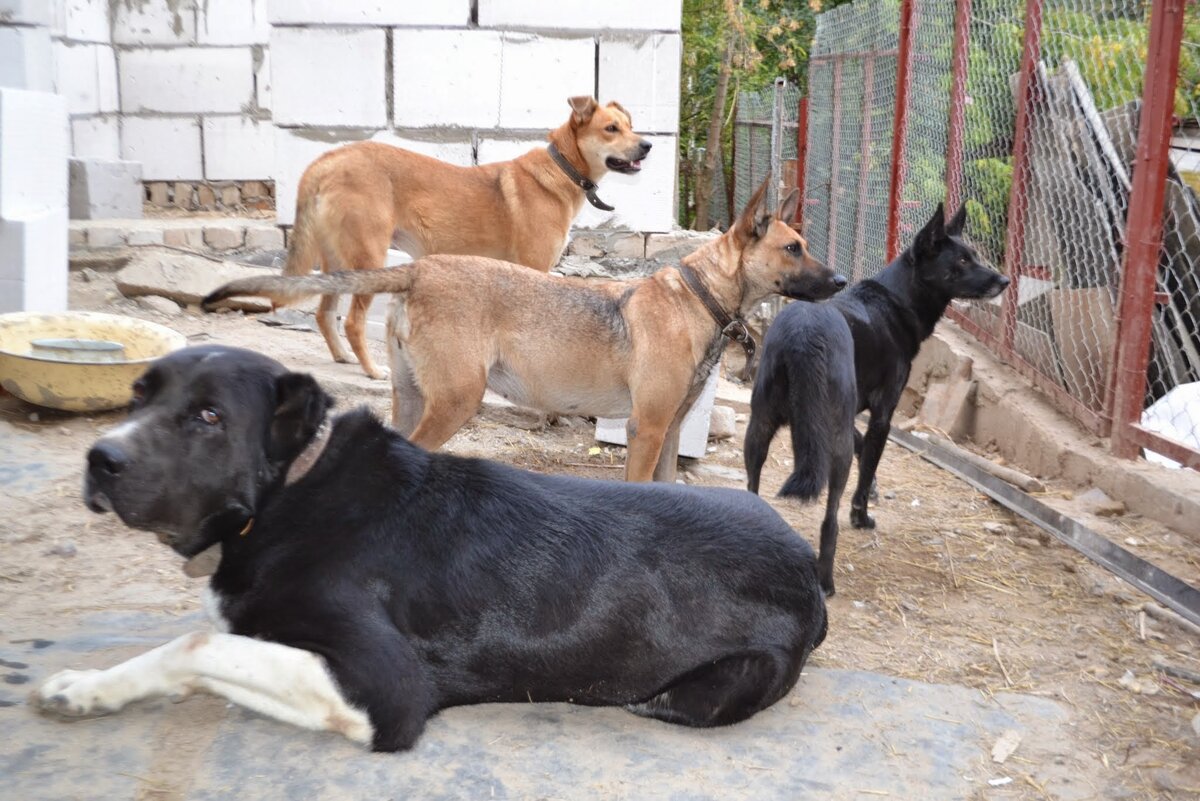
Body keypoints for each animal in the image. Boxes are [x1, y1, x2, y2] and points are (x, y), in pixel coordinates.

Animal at [32, 347, 830, 753]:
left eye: (208, 416)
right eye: (138, 394)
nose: (100, 459)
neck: (291, 490)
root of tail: (810, 574)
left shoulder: (385, 689)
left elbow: (198, 645)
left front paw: (87, 686)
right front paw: (86, 685)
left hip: (709, 689)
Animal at [206, 181, 844, 482]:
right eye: (793, 248)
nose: (841, 280)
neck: (699, 295)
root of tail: (420, 269)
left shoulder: (669, 430)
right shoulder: (645, 428)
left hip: (412, 398)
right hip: (456, 400)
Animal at [284, 94, 648, 381]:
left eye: (630, 125)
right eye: (611, 128)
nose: (648, 145)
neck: (563, 168)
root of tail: (329, 159)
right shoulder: (535, 268)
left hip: (337, 259)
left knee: (324, 313)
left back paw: (342, 356)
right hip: (369, 257)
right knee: (353, 322)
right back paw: (372, 370)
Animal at [744, 205, 1008, 594]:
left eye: (974, 254)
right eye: (962, 260)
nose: (1003, 281)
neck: (898, 298)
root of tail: (804, 334)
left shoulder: (849, 417)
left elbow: (862, 447)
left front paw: (872, 494)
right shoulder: (883, 416)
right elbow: (868, 464)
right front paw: (862, 512)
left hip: (759, 427)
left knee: (752, 487)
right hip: (832, 446)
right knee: (829, 518)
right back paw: (826, 578)